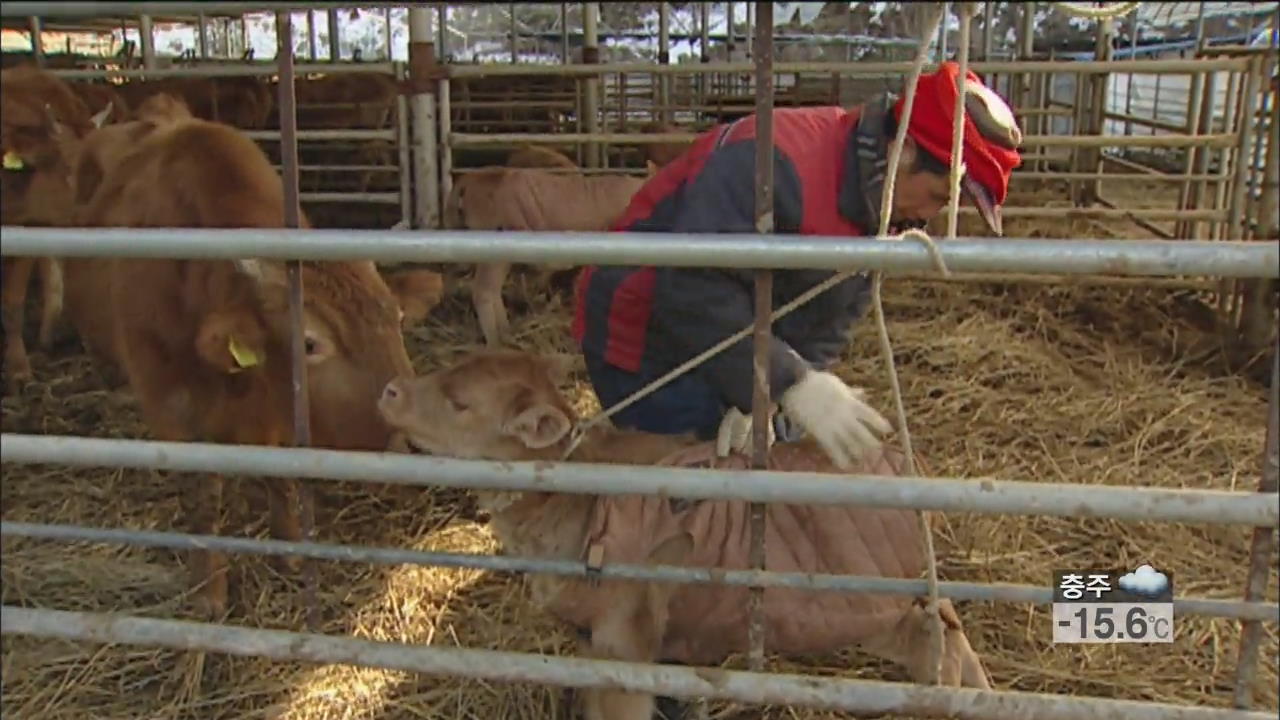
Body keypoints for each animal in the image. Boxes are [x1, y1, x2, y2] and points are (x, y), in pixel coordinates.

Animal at [56, 114, 419, 614]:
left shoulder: (274, 410)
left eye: (397, 318)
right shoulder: (170, 403)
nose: (414, 436)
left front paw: (289, 550)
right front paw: (207, 588)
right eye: (310, 343)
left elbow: (278, 473)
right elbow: (202, 498)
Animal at [373, 351, 993, 717]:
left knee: (936, 642)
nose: (391, 391)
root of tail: (899, 453)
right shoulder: (589, 640)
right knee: (947, 626)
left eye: (460, 403)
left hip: (866, 599)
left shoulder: (626, 641)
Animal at [445, 165, 655, 345]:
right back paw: (497, 342)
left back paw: (507, 333)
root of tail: (467, 179)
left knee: (491, 289)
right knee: (483, 290)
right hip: (495, 242)